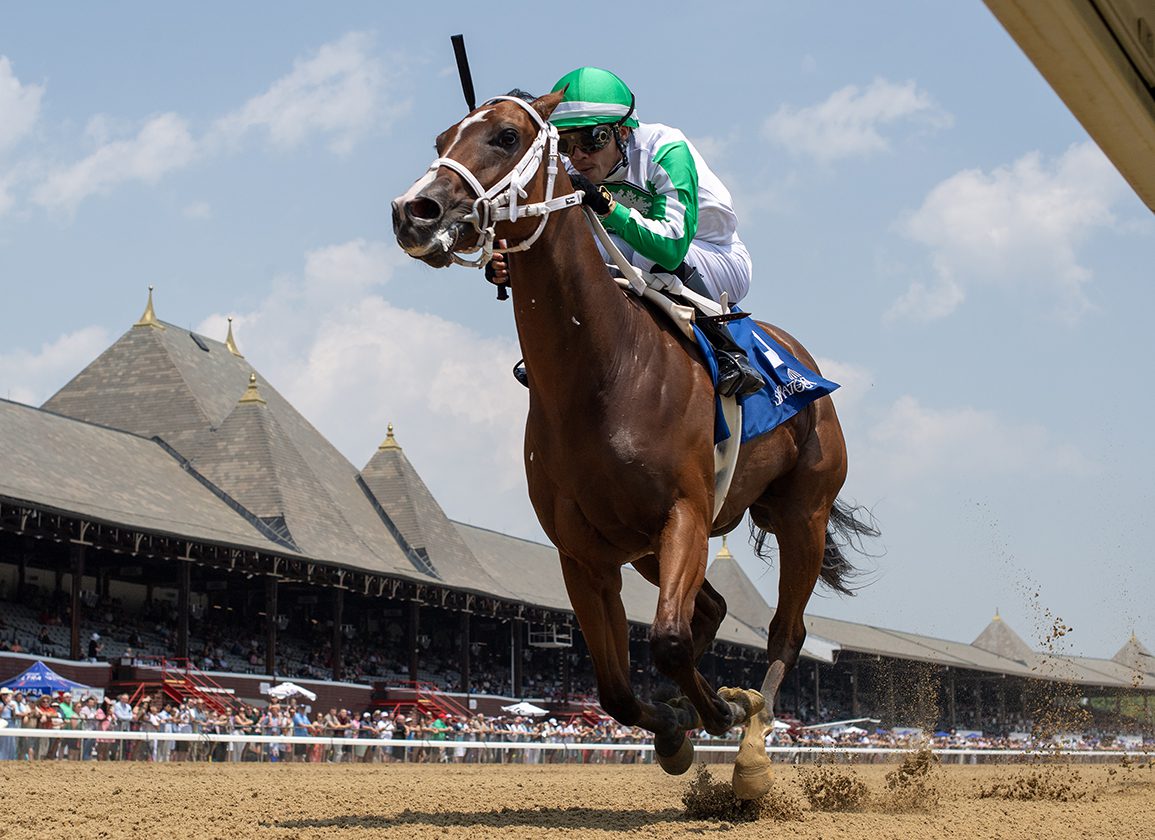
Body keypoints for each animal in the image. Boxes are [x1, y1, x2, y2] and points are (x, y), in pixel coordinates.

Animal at [392, 91, 873, 798]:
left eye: (506, 135)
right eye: (443, 138)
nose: (413, 211)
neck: (604, 372)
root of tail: (802, 364)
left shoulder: (686, 513)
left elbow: (667, 641)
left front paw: (720, 711)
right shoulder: (585, 551)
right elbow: (617, 688)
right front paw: (676, 726)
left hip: (800, 514)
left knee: (785, 631)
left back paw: (752, 741)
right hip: (650, 547)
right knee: (714, 608)